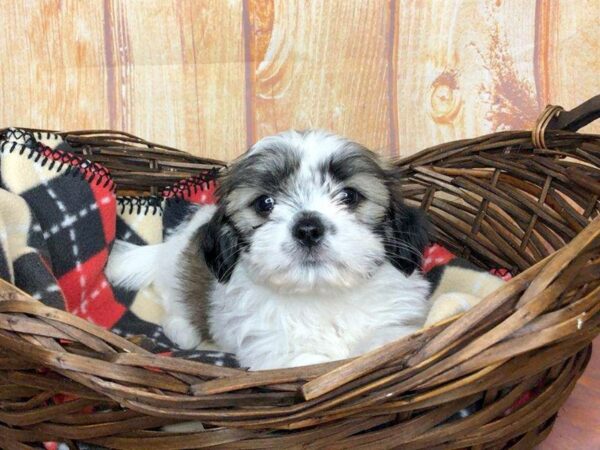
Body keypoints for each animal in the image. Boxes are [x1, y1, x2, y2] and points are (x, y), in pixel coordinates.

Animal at [108, 129, 492, 370]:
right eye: (265, 203)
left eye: (349, 195)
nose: (308, 228)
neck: (321, 296)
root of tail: (172, 245)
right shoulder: (273, 349)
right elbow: (307, 363)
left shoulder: (394, 321)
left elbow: (383, 343)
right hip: (176, 286)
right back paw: (183, 331)